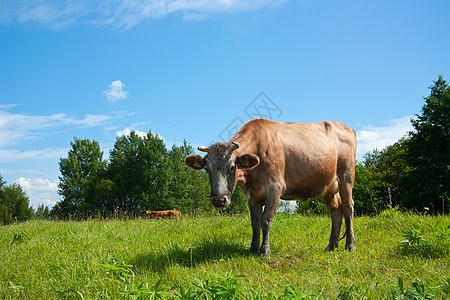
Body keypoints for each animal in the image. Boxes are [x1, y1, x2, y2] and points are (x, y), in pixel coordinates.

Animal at [185, 118, 356, 256]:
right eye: (207, 169)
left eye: (232, 167)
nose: (219, 201)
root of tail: (346, 127)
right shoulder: (252, 195)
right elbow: (255, 223)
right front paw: (253, 249)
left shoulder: (275, 187)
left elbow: (266, 220)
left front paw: (264, 251)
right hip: (329, 186)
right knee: (336, 212)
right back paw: (331, 246)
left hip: (346, 176)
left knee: (348, 208)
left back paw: (350, 245)